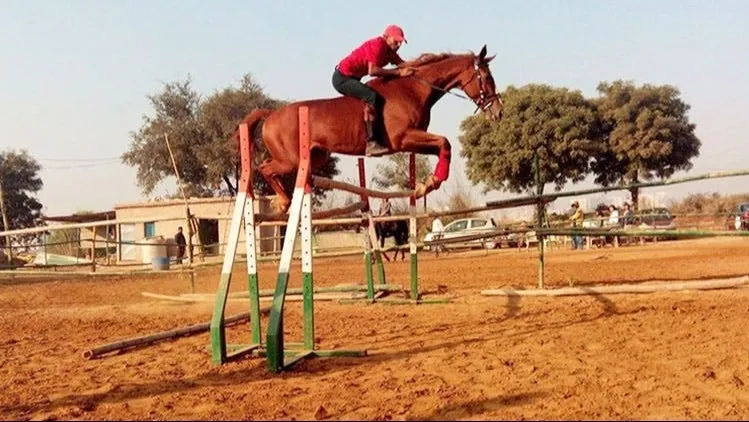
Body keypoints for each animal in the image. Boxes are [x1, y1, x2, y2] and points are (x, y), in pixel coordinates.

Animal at [236, 45, 503, 214]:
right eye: (488, 78)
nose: (499, 112)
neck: (414, 89)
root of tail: (271, 115)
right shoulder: (404, 138)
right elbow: (444, 142)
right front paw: (430, 183)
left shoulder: (413, 140)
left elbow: (442, 147)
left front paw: (426, 183)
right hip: (290, 160)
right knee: (264, 168)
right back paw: (282, 202)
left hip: (314, 157)